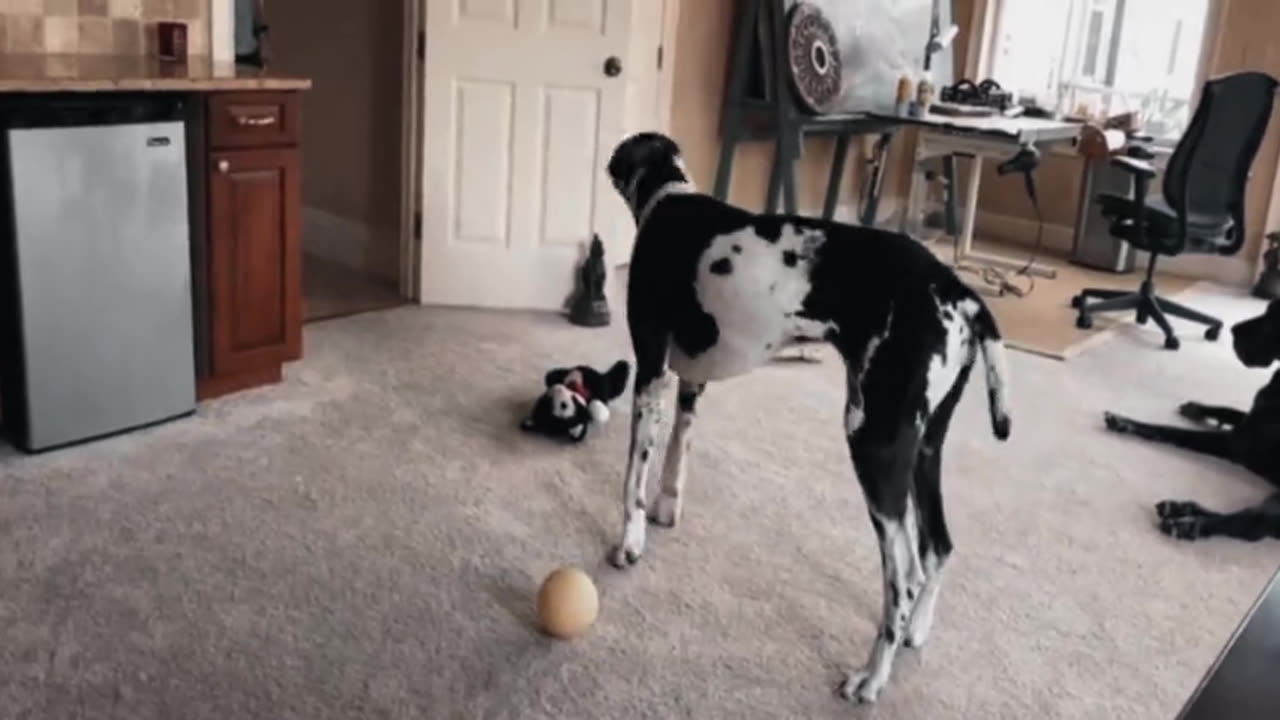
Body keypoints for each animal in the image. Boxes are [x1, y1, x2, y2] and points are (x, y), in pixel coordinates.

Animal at [604, 130, 1013, 702]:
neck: (669, 198)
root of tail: (960, 291)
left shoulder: (650, 375)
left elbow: (632, 479)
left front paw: (630, 542)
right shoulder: (689, 383)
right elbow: (675, 457)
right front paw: (667, 509)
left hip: (874, 444)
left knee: (901, 580)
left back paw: (872, 677)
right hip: (925, 447)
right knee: (937, 549)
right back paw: (917, 631)